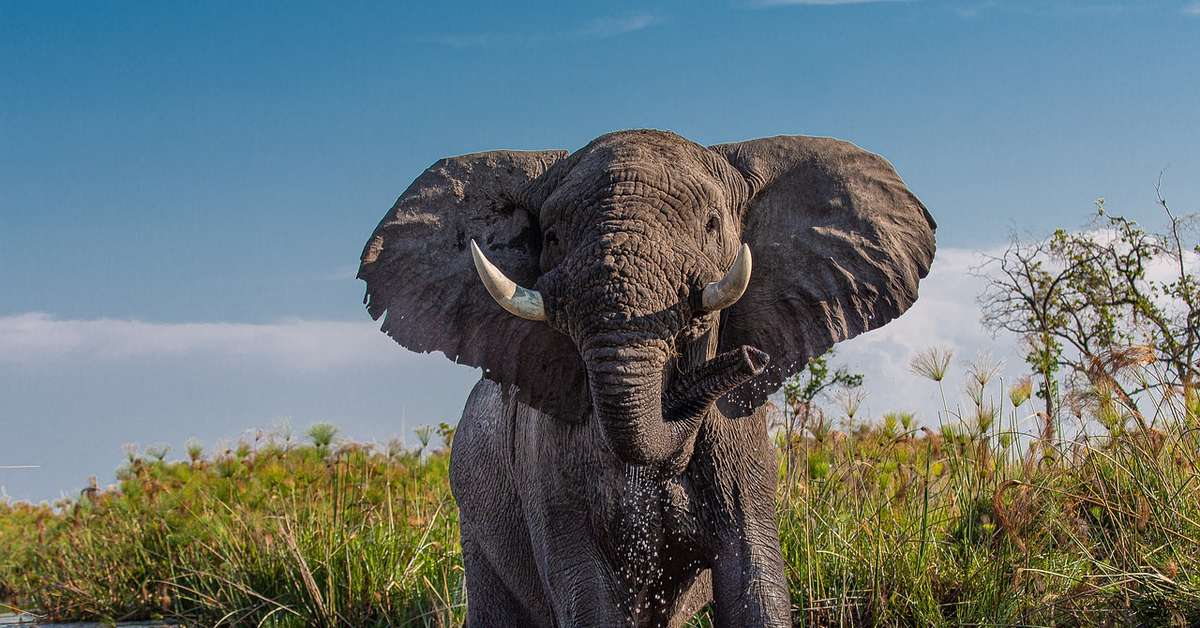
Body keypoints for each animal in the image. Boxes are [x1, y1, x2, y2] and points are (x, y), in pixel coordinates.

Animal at [358, 129, 936, 627]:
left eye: (711, 225)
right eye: (551, 236)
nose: (747, 358)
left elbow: (754, 577)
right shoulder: (547, 461)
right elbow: (586, 592)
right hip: (474, 514)